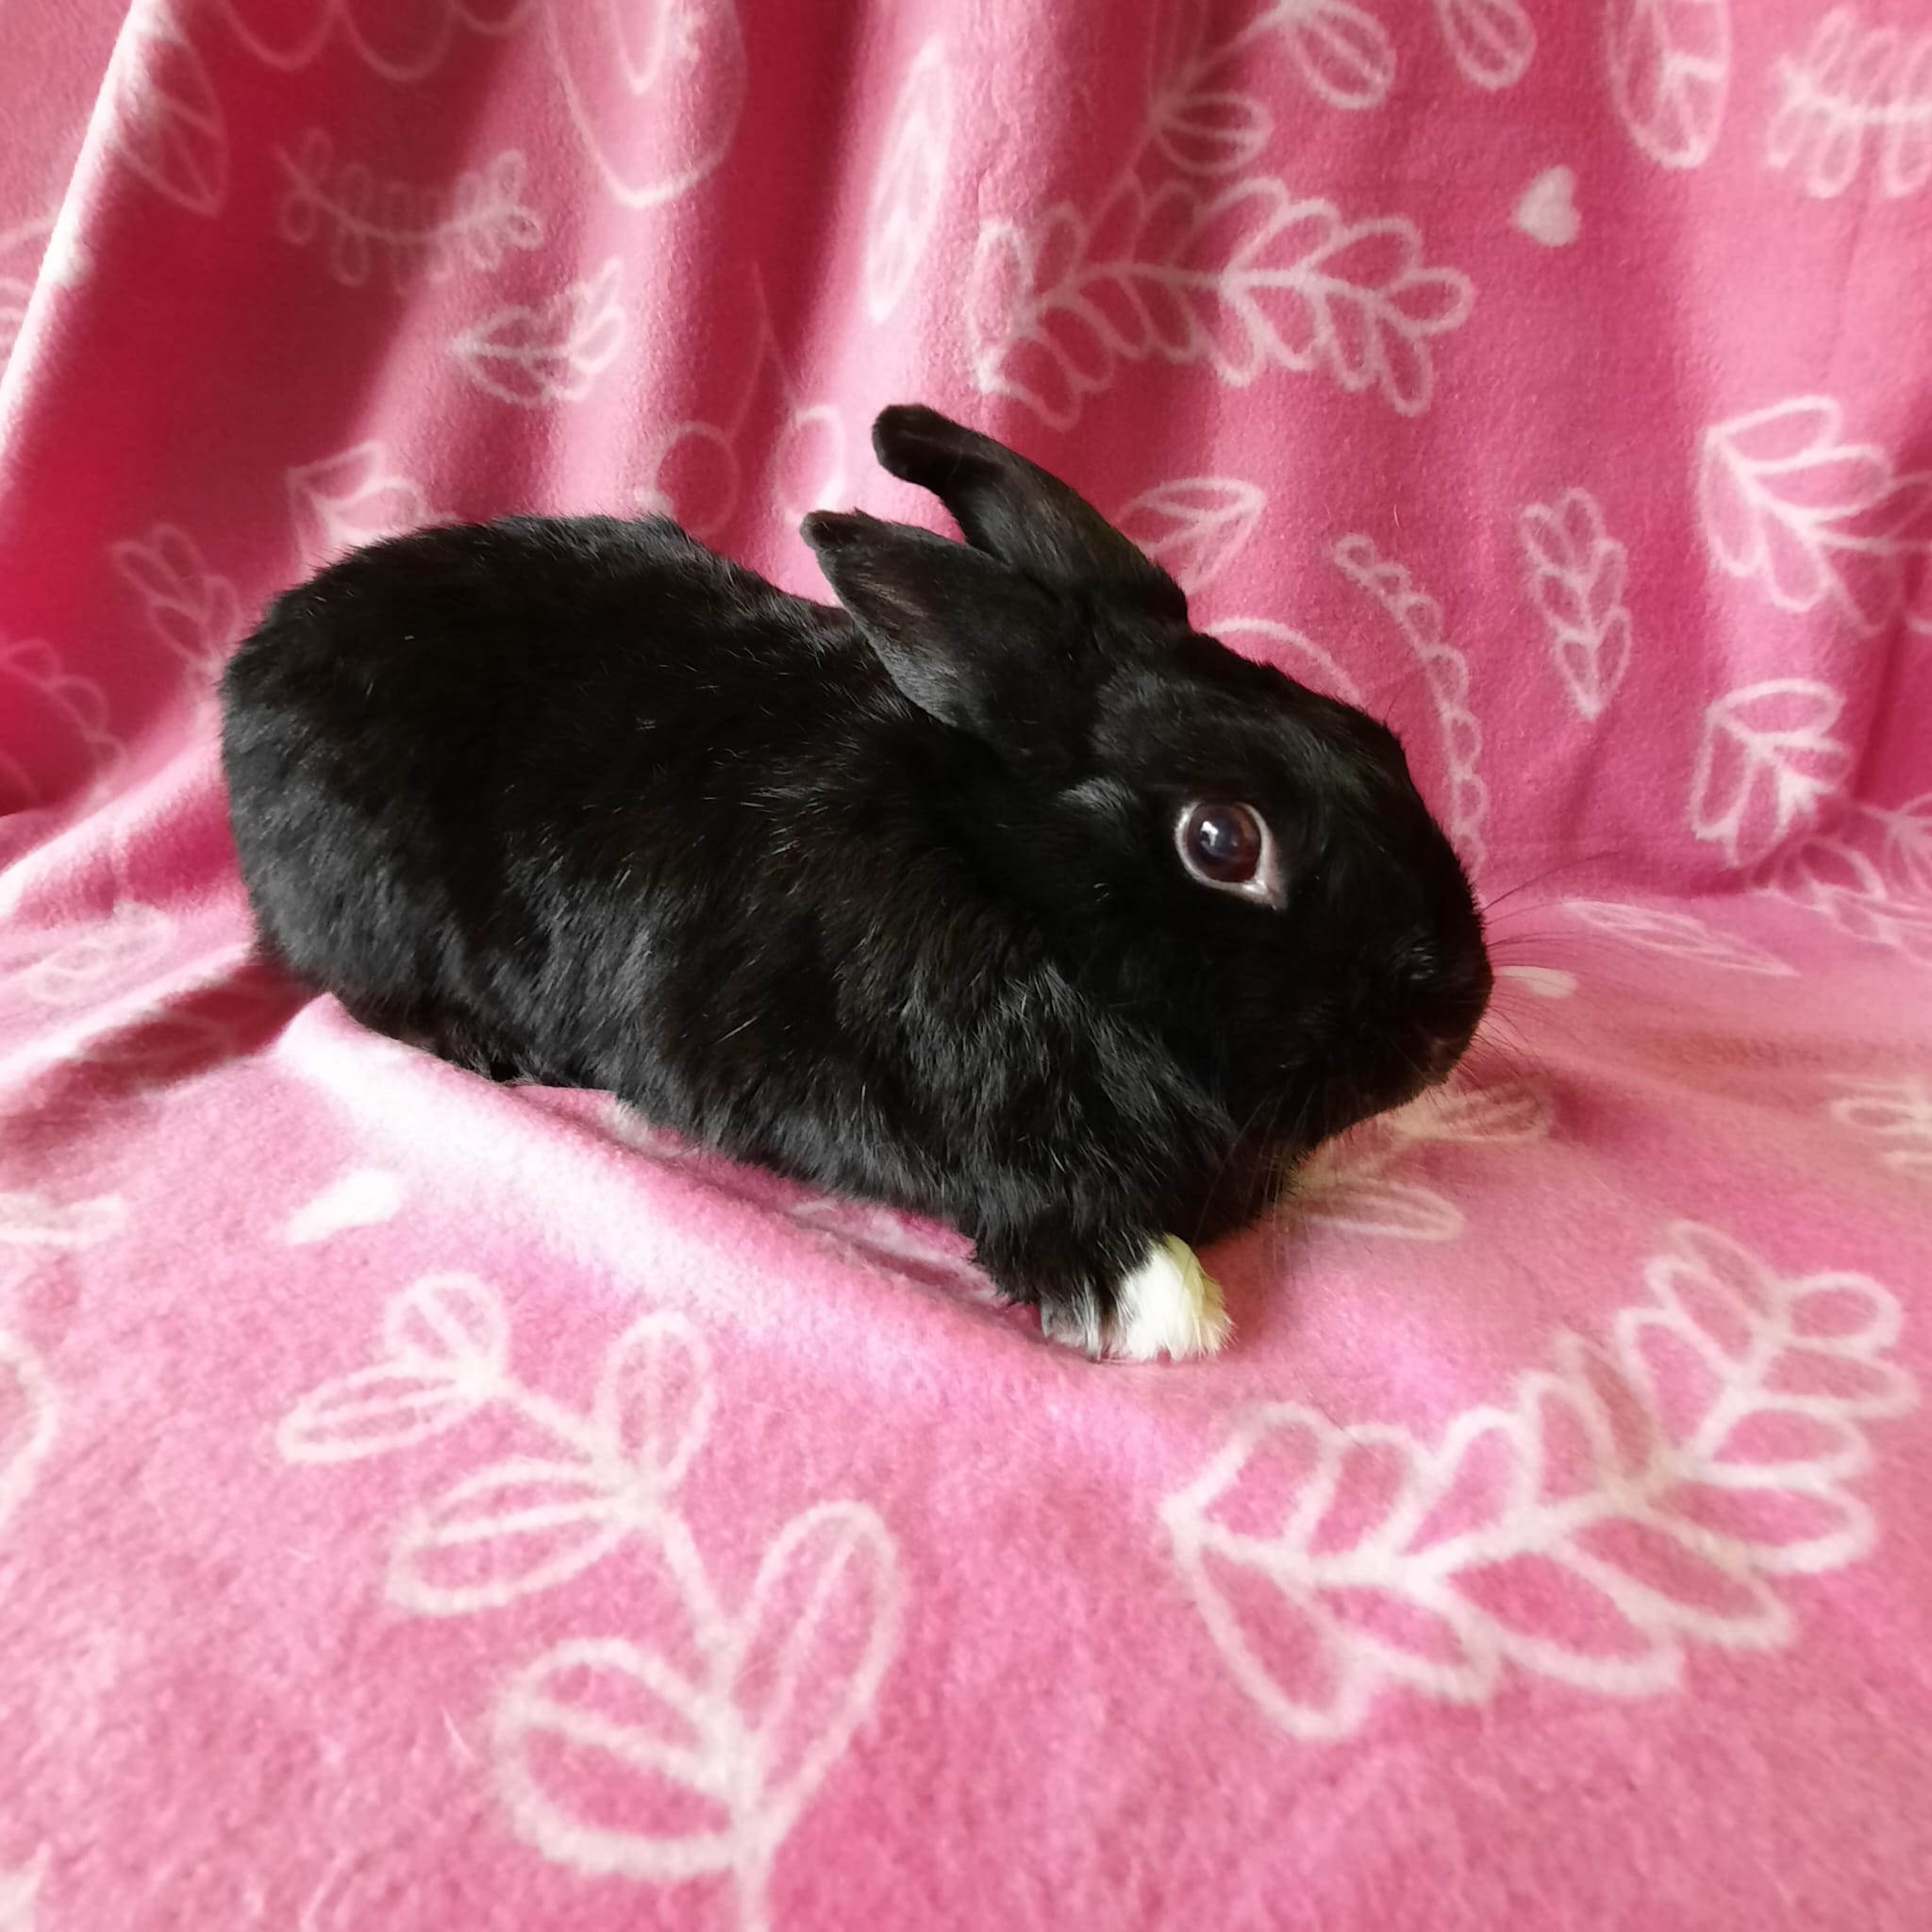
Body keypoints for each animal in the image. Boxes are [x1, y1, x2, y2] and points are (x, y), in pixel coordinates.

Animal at [220, 404, 1492, 1360]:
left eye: (1374, 737)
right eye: (1221, 841)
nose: (1455, 1015)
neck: (1014, 897)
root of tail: (256, 661)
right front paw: (1143, 1293)